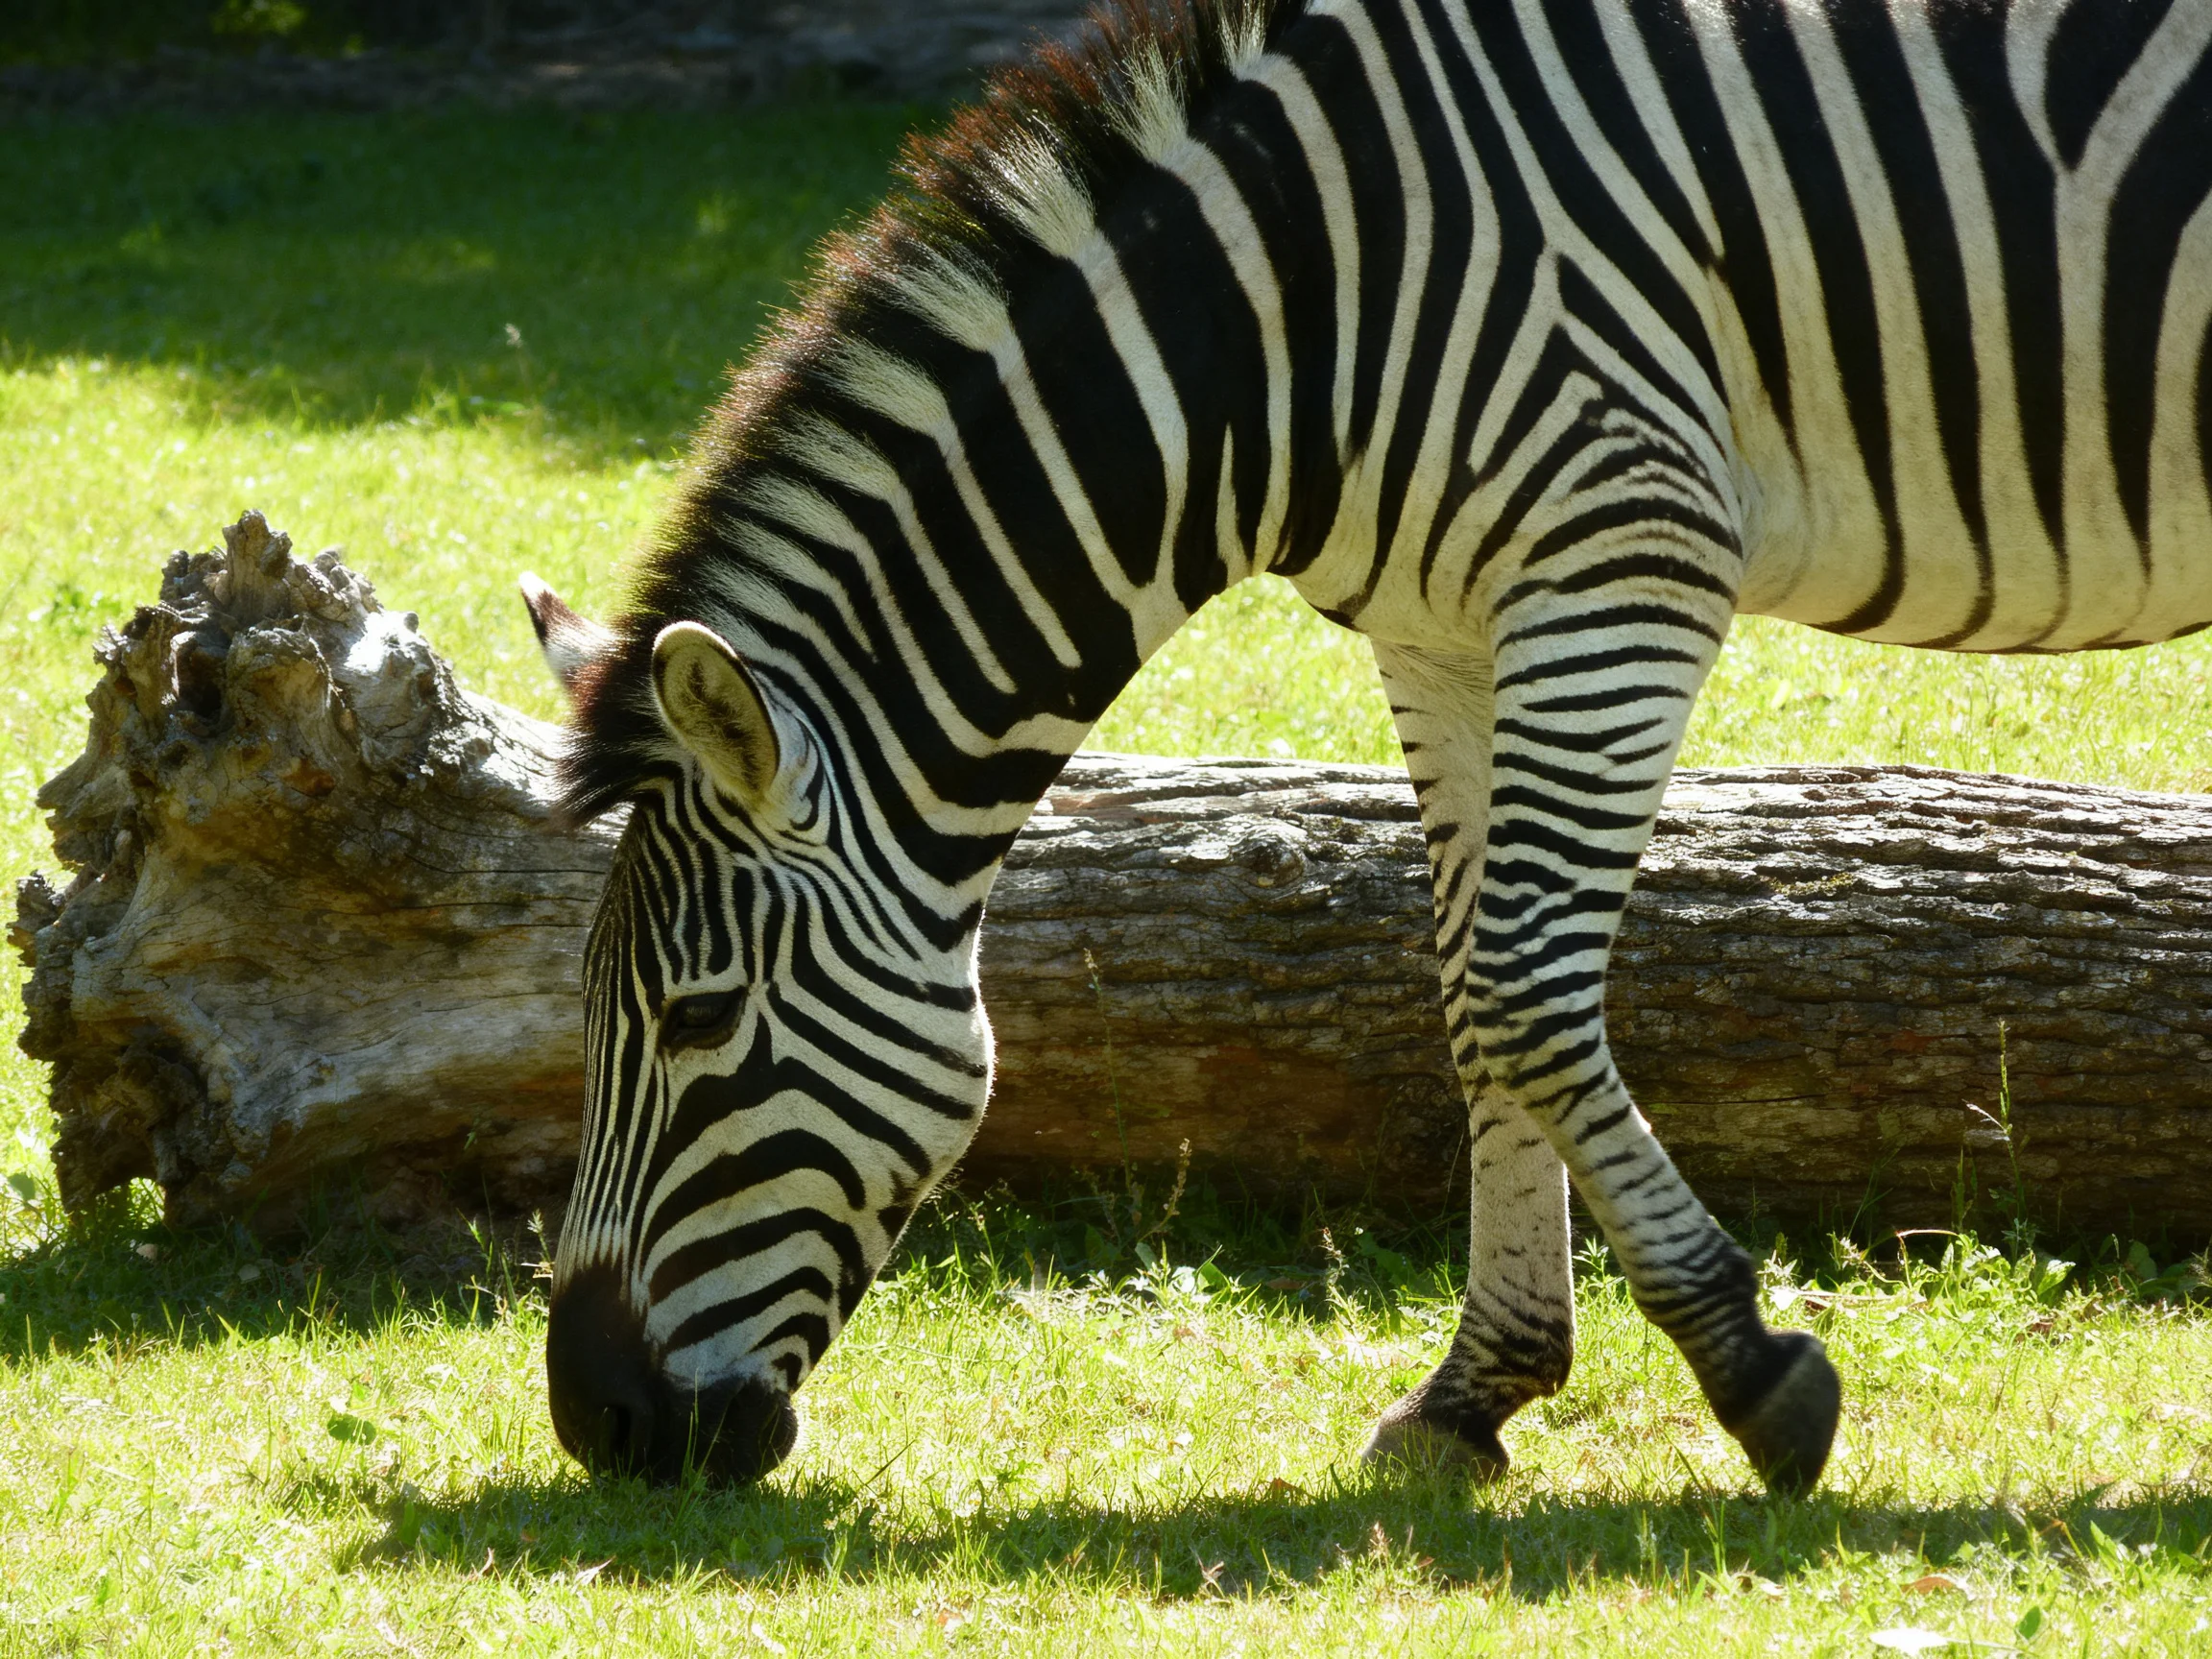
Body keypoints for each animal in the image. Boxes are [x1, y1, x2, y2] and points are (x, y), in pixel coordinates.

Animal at [523, 0, 2212, 1491]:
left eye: (696, 1019)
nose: (599, 1423)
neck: (1289, 329)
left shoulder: (1625, 556)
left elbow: (1524, 987)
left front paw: (1752, 1372)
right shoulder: (1445, 625)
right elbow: (1467, 995)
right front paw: (1478, 1393)